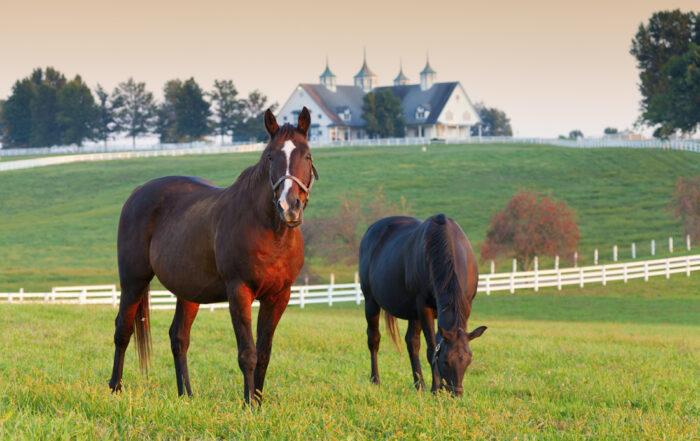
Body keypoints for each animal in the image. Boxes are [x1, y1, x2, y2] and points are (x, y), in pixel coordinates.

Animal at [108, 107, 318, 404]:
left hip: (188, 291)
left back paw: (186, 395)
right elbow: (248, 353)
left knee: (179, 337)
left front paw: (258, 402)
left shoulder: (279, 296)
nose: (289, 207)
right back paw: (115, 387)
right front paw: (248, 405)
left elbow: (264, 353)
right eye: (270, 156)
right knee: (123, 330)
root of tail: (138, 193)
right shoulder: (239, 291)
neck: (270, 231)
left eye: (307, 155)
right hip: (133, 281)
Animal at [358, 214, 487, 396]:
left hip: (412, 313)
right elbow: (432, 348)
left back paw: (419, 385)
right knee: (374, 339)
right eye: (445, 361)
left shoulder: (465, 306)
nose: (456, 393)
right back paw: (375, 380)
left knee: (412, 342)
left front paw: (437, 387)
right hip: (371, 302)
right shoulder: (424, 308)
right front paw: (435, 389)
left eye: (469, 359)